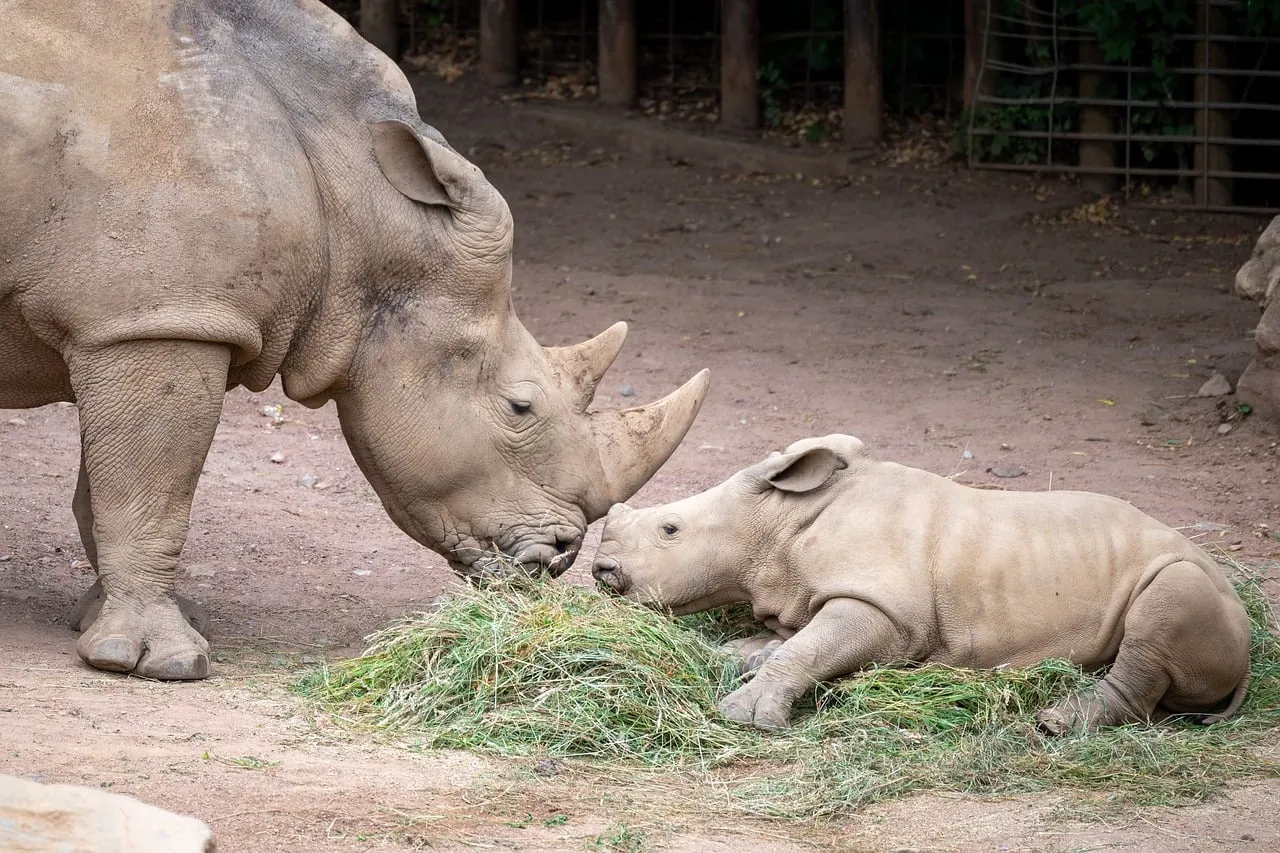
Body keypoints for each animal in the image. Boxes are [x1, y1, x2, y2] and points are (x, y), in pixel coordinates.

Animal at [0, 0, 709, 681]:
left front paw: (113, 620)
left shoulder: (135, 319)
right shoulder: (161, 319)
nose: (563, 557)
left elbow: (109, 481)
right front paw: (158, 662)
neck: (358, 202)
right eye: (520, 407)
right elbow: (151, 489)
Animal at [592, 435, 1252, 733]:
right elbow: (793, 640)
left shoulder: (888, 611)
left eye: (670, 530)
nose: (602, 573)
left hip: (1185, 576)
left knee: (1161, 614)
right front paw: (742, 655)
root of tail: (1250, 639)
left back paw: (1054, 723)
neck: (780, 524)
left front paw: (747, 715)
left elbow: (813, 646)